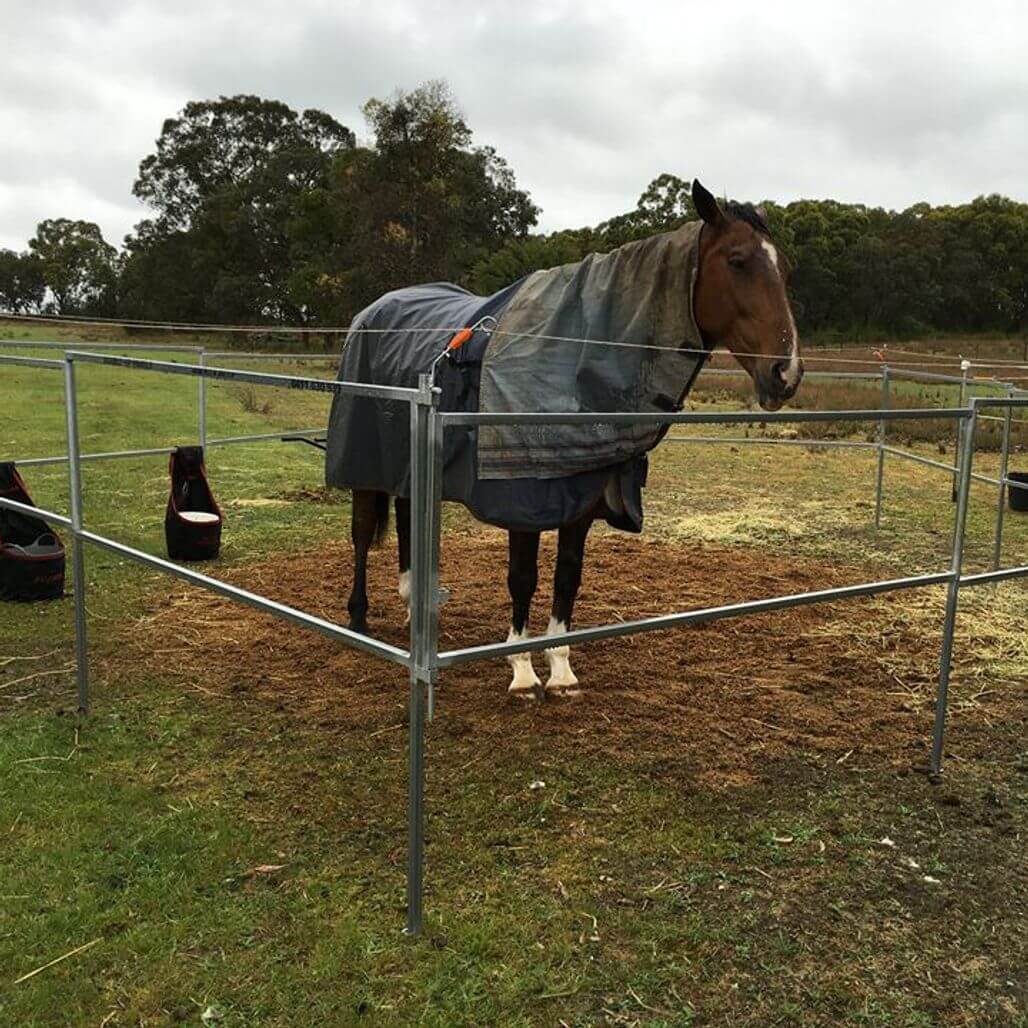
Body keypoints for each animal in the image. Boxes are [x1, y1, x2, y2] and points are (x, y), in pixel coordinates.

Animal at [337, 182, 801, 699]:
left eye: (784, 268)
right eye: (737, 261)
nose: (786, 372)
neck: (577, 358)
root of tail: (371, 312)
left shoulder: (581, 505)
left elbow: (567, 579)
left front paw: (559, 669)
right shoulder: (521, 502)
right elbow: (523, 579)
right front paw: (521, 671)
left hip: (408, 462)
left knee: (406, 518)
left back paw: (414, 604)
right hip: (364, 464)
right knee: (362, 533)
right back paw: (358, 617)